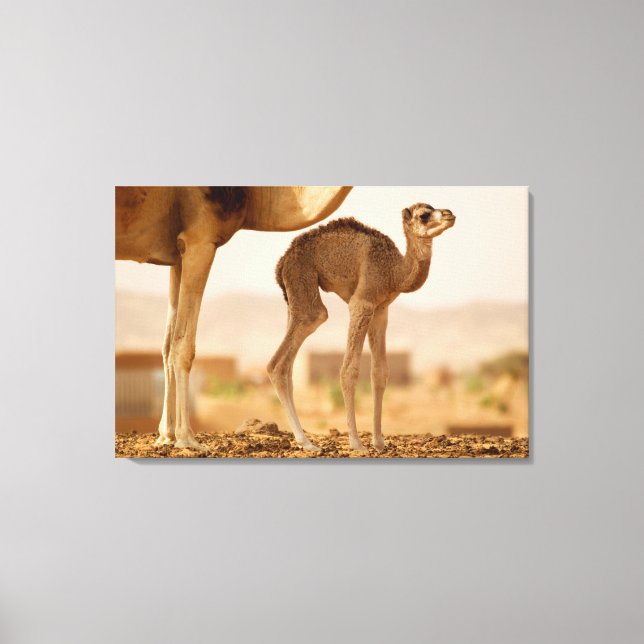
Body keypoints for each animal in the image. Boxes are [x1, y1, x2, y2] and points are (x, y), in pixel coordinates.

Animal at [116, 186, 352, 450]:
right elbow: (184, 347)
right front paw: (187, 438)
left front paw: (166, 436)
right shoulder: (200, 239)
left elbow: (167, 347)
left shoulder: (176, 254)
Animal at [267, 202, 455, 452]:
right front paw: (357, 443)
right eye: (424, 215)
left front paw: (379, 441)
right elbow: (349, 370)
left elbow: (380, 372)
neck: (394, 271)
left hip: (293, 297)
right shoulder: (362, 303)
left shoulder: (382, 309)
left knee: (287, 364)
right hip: (303, 282)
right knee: (283, 357)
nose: (449, 214)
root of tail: (282, 262)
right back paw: (307, 443)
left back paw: (304, 439)